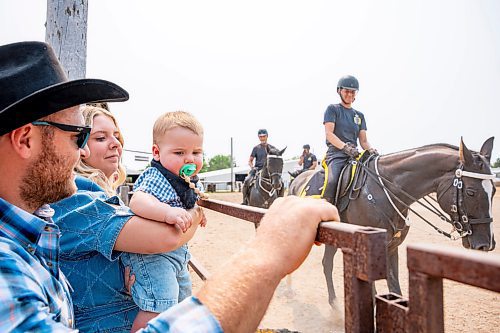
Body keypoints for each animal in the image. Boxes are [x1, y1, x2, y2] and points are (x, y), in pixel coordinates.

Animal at [290, 137, 496, 304]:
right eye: (471, 192)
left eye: (493, 190)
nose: (486, 244)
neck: (385, 190)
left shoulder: (391, 247)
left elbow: (395, 290)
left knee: (327, 264)